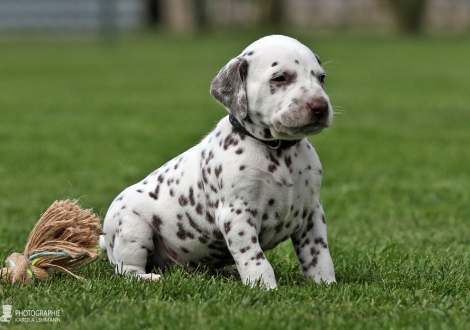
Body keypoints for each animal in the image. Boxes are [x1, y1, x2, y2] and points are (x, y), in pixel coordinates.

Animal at [99, 34, 336, 288]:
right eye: (280, 77)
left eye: (321, 78)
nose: (320, 107)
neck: (279, 151)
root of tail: (105, 239)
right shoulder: (237, 214)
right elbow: (255, 258)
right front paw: (264, 287)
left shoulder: (312, 213)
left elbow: (318, 254)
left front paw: (326, 284)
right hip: (133, 230)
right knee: (126, 269)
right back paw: (148, 278)